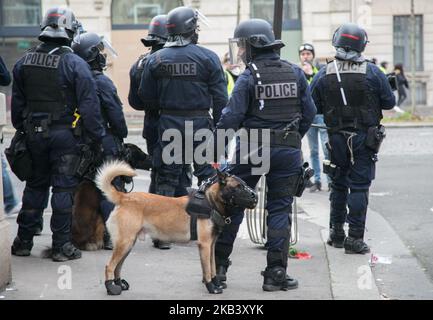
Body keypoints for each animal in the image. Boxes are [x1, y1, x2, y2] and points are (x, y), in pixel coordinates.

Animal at [95, 160, 256, 296]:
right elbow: (207, 270)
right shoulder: (204, 245)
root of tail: (124, 197)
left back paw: (118, 284)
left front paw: (216, 283)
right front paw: (211, 287)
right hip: (125, 243)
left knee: (118, 266)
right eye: (238, 187)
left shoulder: (211, 245)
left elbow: (213, 267)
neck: (211, 202)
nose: (255, 197)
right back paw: (111, 287)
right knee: (109, 266)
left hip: (128, 244)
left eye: (245, 184)